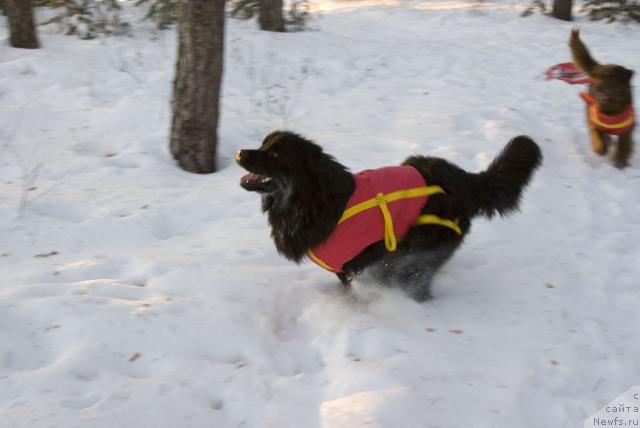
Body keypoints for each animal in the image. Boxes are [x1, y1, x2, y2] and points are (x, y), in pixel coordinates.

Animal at [238, 131, 544, 300]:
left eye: (275, 154)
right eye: (263, 144)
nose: (240, 152)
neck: (313, 200)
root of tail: (465, 180)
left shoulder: (368, 260)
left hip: (423, 243)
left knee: (417, 280)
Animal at [568, 28, 636, 168]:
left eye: (612, 77)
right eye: (598, 76)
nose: (599, 88)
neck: (610, 111)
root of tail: (600, 64)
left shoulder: (626, 131)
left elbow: (624, 146)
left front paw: (620, 161)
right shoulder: (594, 124)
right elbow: (598, 138)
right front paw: (600, 149)